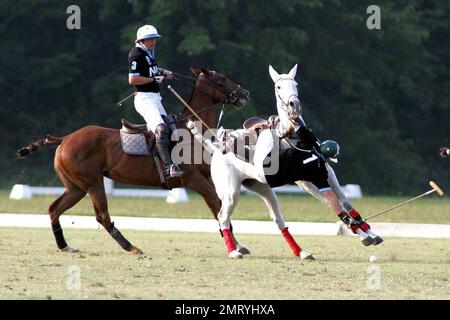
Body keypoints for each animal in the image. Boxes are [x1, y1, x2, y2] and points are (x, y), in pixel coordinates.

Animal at [17, 68, 250, 255]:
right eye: (221, 78)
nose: (244, 93)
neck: (193, 132)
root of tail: (64, 139)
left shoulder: (206, 179)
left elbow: (217, 208)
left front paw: (237, 245)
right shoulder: (194, 180)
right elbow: (219, 206)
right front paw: (235, 247)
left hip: (76, 187)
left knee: (54, 209)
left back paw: (65, 246)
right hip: (93, 182)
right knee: (102, 216)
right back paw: (132, 247)